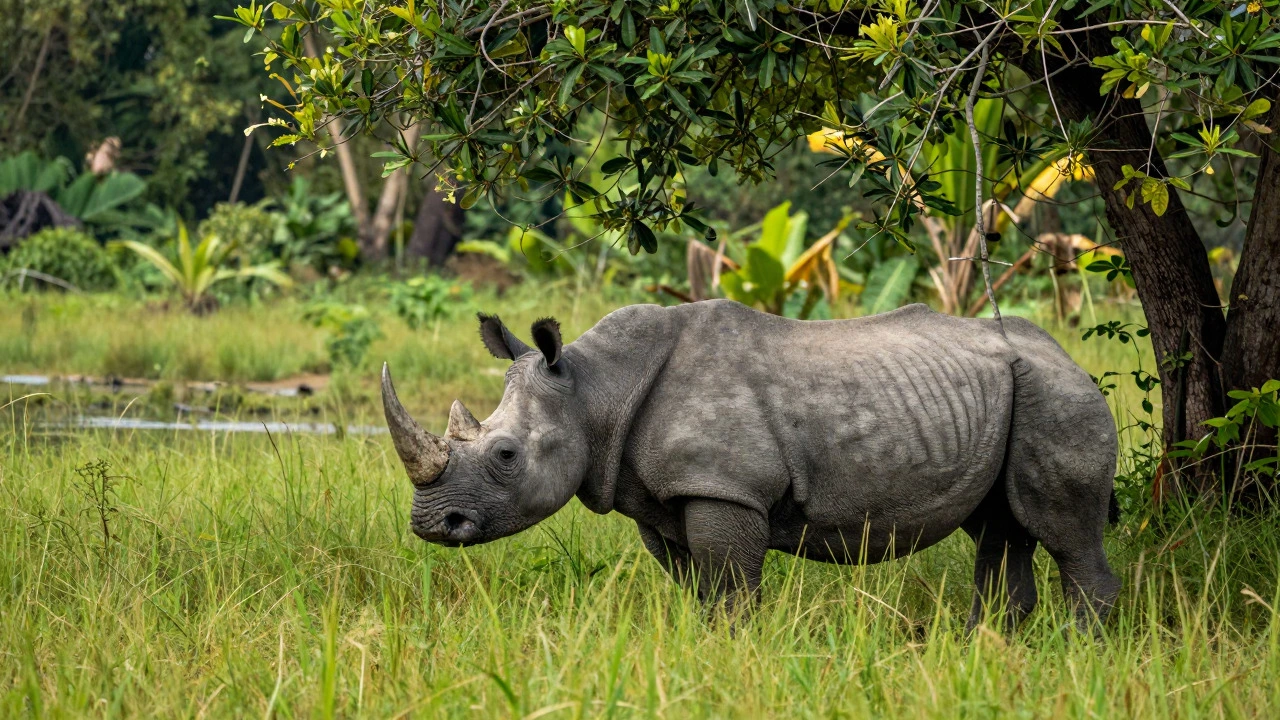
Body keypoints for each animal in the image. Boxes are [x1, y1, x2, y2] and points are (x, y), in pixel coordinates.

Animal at [381, 300, 1120, 628]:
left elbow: (733, 590)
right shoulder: (663, 495)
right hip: (1013, 393)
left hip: (1059, 396)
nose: (431, 524)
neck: (593, 389)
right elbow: (699, 589)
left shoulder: (724, 489)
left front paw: (736, 654)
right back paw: (986, 647)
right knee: (1000, 526)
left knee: (1062, 531)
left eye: (506, 455)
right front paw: (704, 651)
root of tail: (1068, 357)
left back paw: (1078, 652)